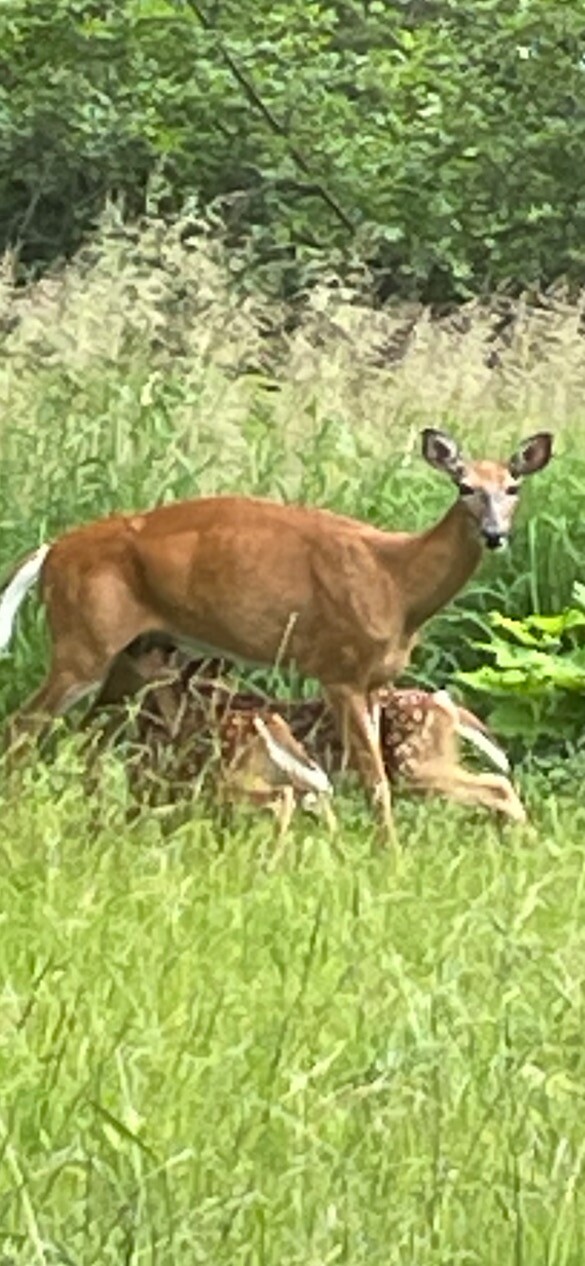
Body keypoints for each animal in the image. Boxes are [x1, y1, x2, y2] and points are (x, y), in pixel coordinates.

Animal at [0, 428, 552, 844]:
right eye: (464, 486)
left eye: (513, 487)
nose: (495, 535)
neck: (397, 584)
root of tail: (51, 552)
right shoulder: (339, 668)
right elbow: (375, 780)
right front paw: (388, 858)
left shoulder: (375, 680)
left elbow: (375, 776)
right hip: (83, 640)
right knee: (24, 726)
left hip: (135, 656)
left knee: (90, 737)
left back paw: (102, 826)